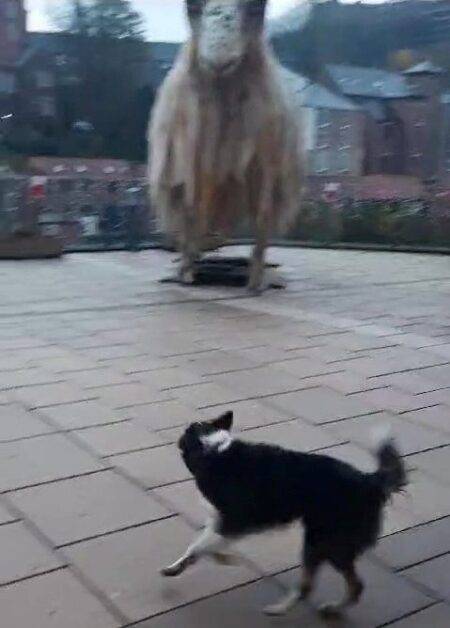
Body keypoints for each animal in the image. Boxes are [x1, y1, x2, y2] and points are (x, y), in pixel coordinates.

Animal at [163, 410, 408, 616]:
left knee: (336, 585)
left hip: (323, 542)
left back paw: (283, 608)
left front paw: (216, 559)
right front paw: (188, 564)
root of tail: (370, 482)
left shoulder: (233, 522)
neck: (213, 449)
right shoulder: (221, 522)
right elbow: (200, 546)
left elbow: (200, 546)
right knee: (343, 585)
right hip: (323, 543)